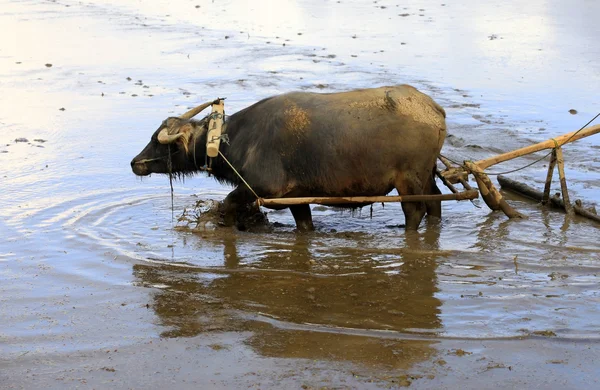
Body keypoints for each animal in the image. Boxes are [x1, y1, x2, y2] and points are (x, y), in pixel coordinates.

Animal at [134, 85, 448, 230]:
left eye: (157, 141)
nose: (134, 163)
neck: (236, 139)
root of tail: (433, 109)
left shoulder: (262, 188)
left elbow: (229, 203)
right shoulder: (297, 197)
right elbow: (305, 224)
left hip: (409, 180)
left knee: (415, 210)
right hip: (426, 175)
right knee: (435, 203)